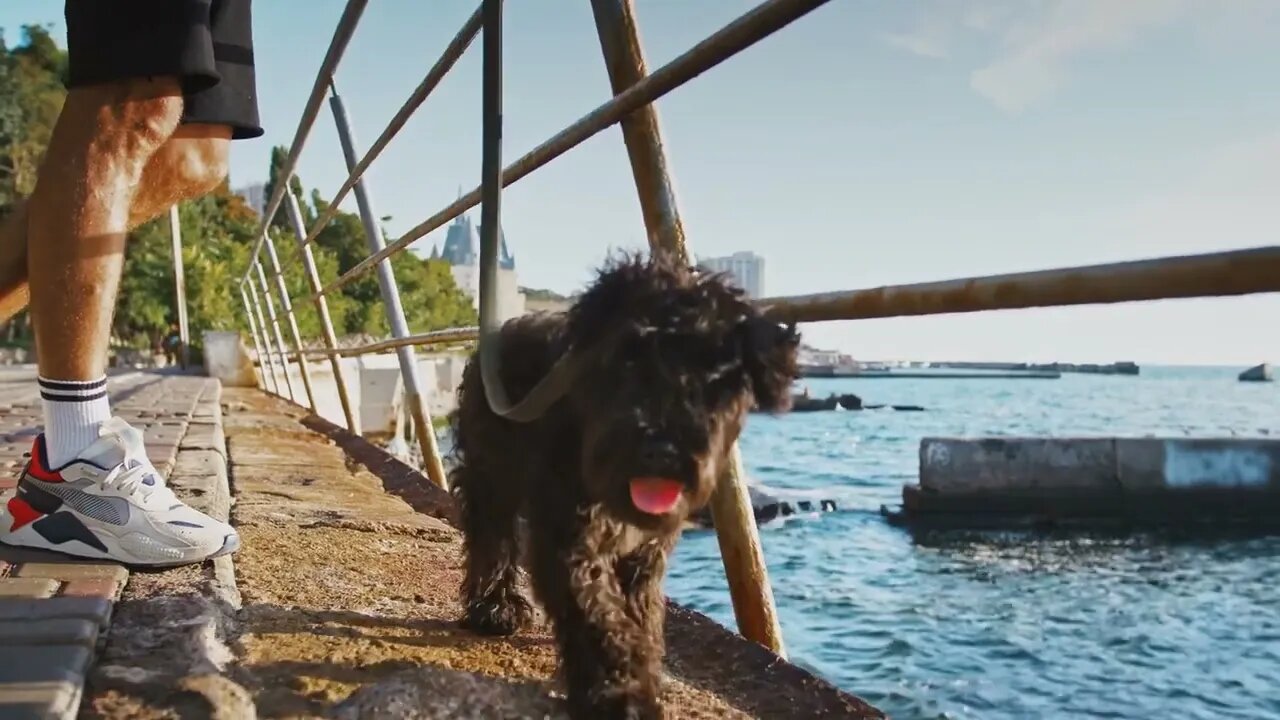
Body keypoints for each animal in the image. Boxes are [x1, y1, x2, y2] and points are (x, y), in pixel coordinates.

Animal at [445, 249, 793, 712]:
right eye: (626, 357)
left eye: (714, 371)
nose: (660, 449)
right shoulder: (568, 536)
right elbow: (596, 617)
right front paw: (623, 694)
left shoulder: (647, 553)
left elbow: (638, 614)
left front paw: (644, 667)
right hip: (492, 471)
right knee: (491, 535)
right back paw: (494, 608)